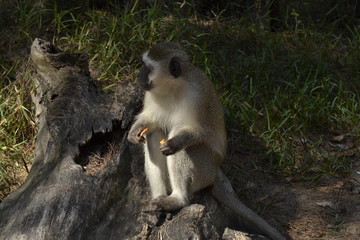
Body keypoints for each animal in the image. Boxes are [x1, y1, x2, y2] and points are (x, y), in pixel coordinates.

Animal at [128, 42, 286, 239]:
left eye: (147, 67)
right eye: (143, 65)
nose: (138, 74)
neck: (173, 87)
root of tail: (215, 173)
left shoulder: (199, 95)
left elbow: (199, 132)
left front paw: (174, 142)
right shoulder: (151, 94)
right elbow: (151, 120)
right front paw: (134, 130)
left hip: (205, 170)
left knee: (185, 149)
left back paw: (178, 199)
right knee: (154, 135)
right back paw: (158, 201)